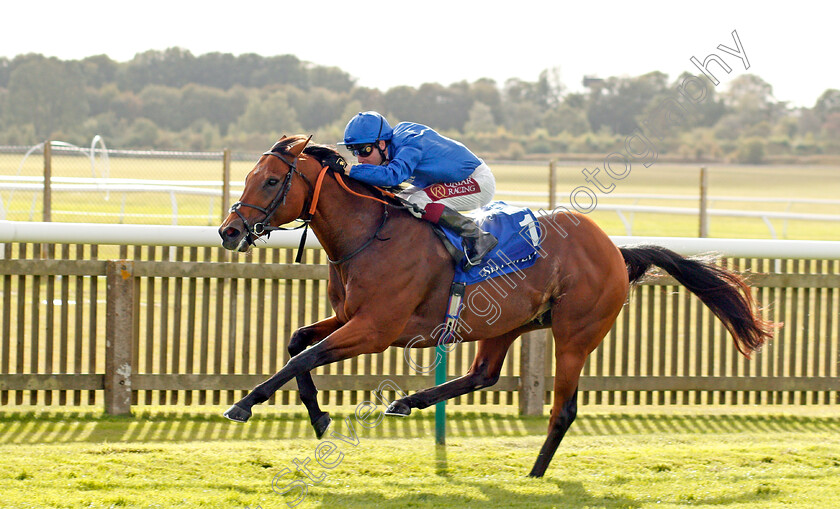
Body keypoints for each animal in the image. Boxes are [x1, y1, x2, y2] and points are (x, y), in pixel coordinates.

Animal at [217, 135, 776, 476]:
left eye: (271, 180)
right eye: (248, 176)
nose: (229, 232)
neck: (369, 235)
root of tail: (616, 250)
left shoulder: (376, 329)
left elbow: (305, 356)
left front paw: (245, 404)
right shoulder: (352, 318)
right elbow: (299, 344)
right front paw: (318, 416)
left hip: (576, 333)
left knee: (563, 408)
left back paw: (535, 472)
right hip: (509, 322)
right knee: (483, 374)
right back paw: (408, 402)